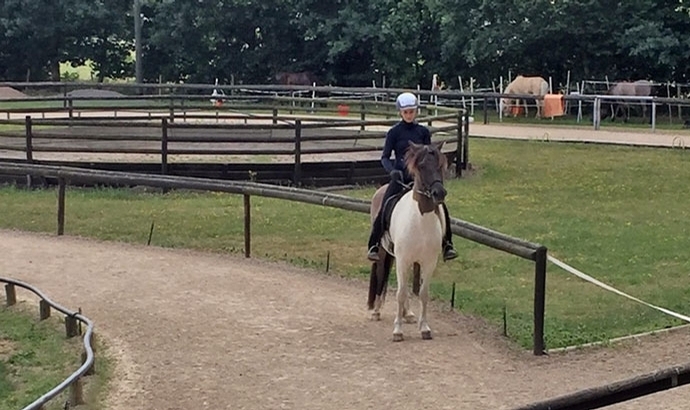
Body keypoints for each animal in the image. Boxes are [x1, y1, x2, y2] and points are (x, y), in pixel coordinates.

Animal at [366, 141, 446, 342]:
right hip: (383, 252)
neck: (420, 220)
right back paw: (376, 311)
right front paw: (397, 331)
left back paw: (408, 314)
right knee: (382, 275)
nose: (439, 193)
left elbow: (423, 293)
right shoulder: (402, 259)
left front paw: (424, 328)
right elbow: (400, 293)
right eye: (422, 166)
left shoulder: (428, 262)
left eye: (441, 165)